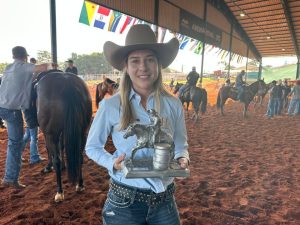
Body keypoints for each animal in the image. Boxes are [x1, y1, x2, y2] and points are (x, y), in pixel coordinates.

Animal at [35, 71, 91, 202]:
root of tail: (67, 82)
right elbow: (62, 147)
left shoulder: (48, 134)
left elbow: (49, 150)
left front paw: (48, 167)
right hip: (82, 132)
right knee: (80, 156)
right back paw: (80, 184)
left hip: (51, 134)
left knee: (57, 160)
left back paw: (59, 192)